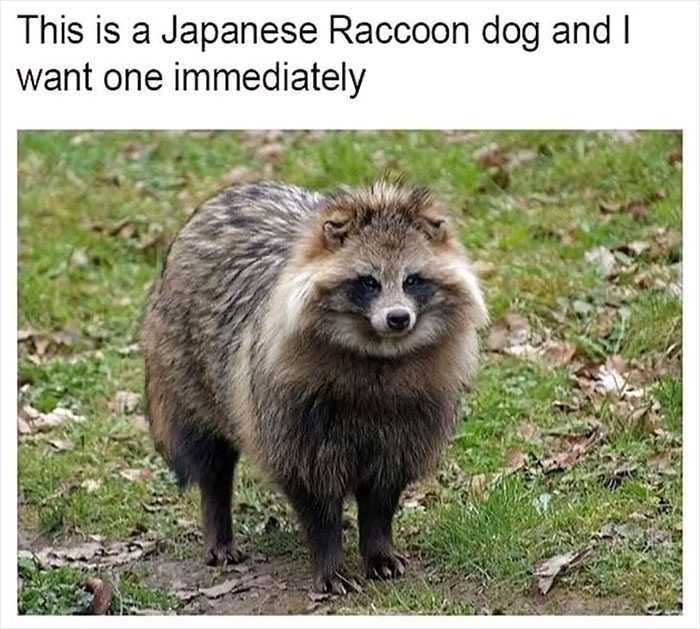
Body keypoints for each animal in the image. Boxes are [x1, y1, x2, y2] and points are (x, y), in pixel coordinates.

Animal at [142, 178, 486, 592]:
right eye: (368, 282)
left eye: (412, 280)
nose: (398, 318)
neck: (378, 354)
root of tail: (230, 191)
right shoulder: (290, 410)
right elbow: (312, 491)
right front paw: (330, 558)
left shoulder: (413, 415)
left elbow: (383, 491)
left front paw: (377, 546)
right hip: (186, 369)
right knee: (211, 459)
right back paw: (217, 521)